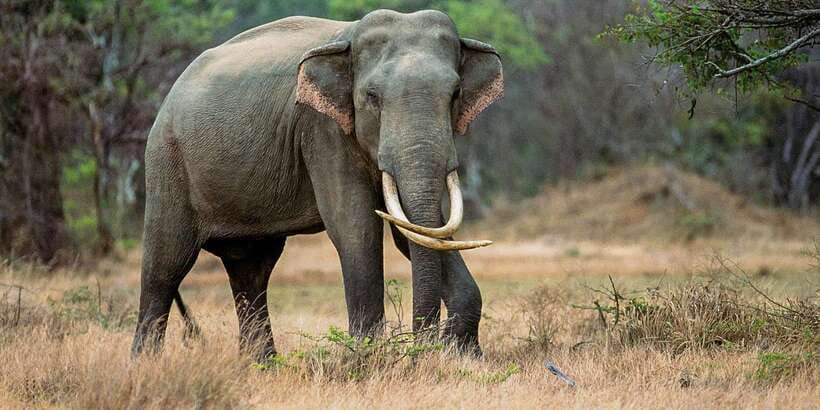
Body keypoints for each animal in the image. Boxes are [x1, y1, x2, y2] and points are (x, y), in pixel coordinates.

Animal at [131, 9, 504, 360]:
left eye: (455, 93)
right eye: (372, 96)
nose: (423, 348)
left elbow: (415, 229)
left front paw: (464, 356)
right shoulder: (321, 129)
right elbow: (355, 225)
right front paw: (367, 358)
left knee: (251, 270)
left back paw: (262, 365)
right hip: (167, 161)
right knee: (166, 265)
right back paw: (146, 364)